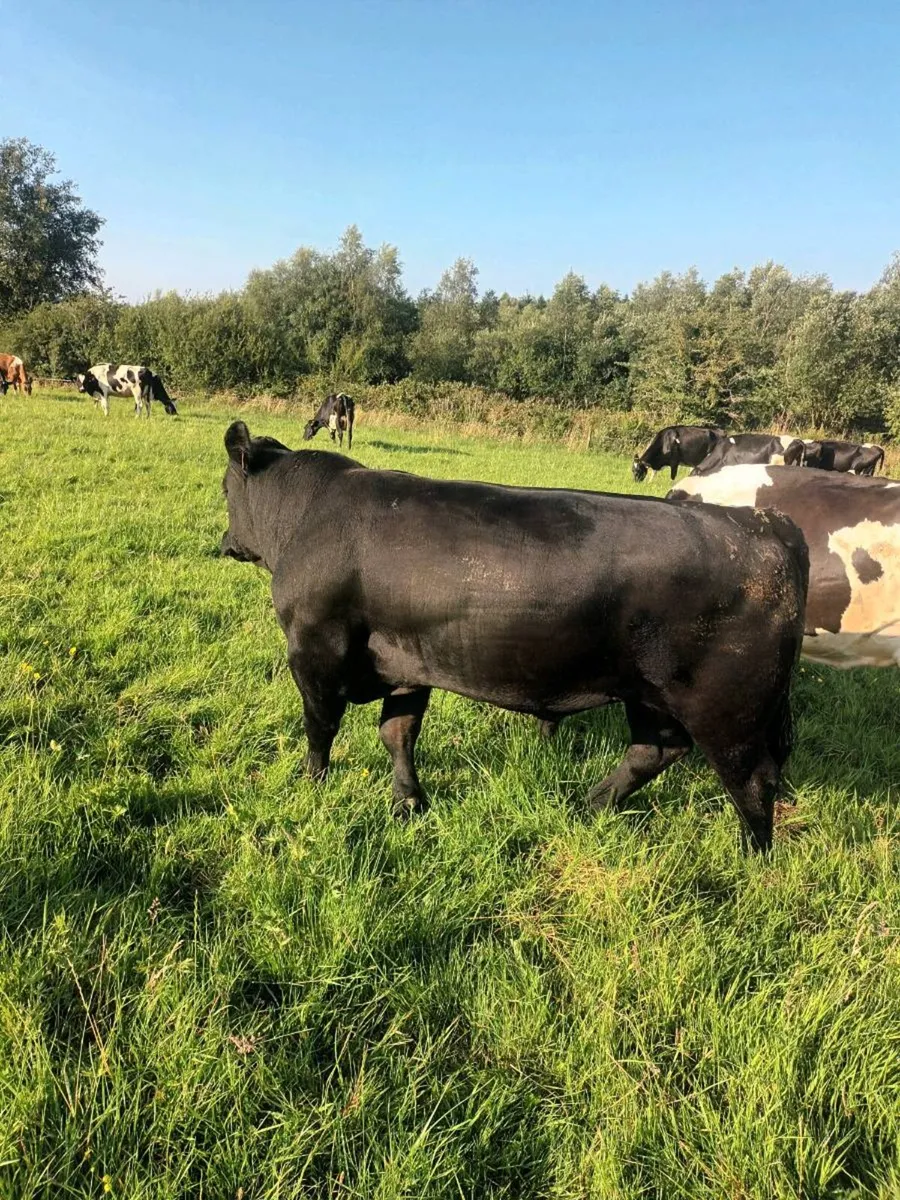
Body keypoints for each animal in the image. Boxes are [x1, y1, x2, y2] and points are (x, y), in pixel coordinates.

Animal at [220, 421, 809, 852]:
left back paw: (752, 859)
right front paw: (408, 801)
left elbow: (320, 729)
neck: (307, 517)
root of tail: (770, 525)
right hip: (650, 695)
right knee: (655, 749)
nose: (225, 540)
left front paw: (311, 785)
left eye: (225, 489)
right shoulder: (408, 658)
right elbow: (398, 733)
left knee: (753, 781)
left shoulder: (314, 650)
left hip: (727, 711)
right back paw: (591, 805)